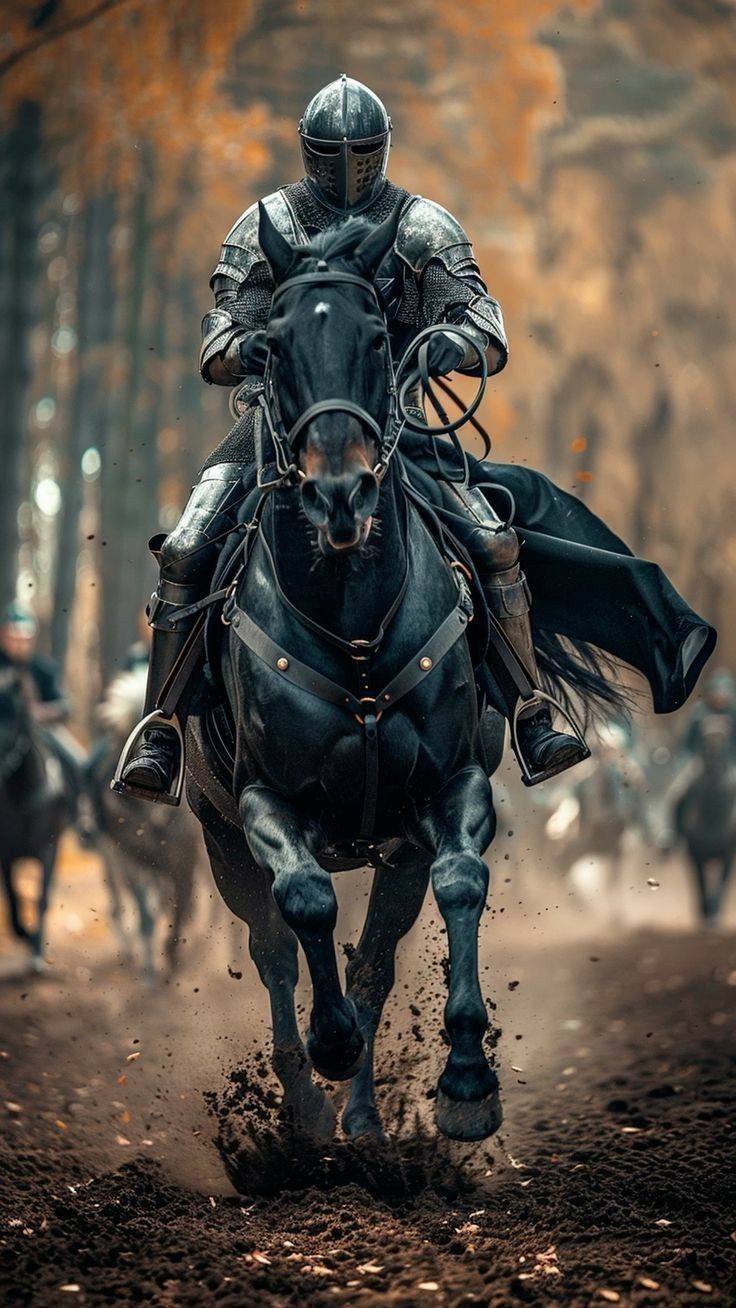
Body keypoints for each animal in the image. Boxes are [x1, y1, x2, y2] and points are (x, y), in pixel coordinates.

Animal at [87, 666, 198, 982]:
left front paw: (169, 958)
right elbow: (149, 909)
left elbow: (179, 905)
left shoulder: (184, 861)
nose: (144, 774)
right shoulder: (133, 858)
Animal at [185, 203, 509, 1143]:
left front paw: (467, 1083)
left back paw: (361, 1117)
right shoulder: (263, 803)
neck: (353, 621)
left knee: (373, 964)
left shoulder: (449, 786)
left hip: (391, 855)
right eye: (275, 344)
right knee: (273, 954)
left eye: (375, 336)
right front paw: (327, 1049)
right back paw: (305, 1106)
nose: (341, 494)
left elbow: (460, 882)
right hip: (219, 842)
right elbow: (305, 903)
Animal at [672, 717, 736, 925]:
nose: (713, 765)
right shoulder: (694, 855)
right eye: (703, 739)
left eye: (724, 738)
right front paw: (705, 913)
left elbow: (721, 885)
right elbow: (699, 884)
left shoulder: (727, 855)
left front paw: (714, 915)